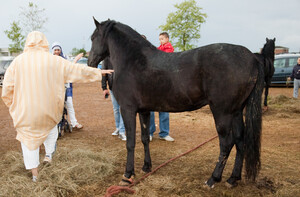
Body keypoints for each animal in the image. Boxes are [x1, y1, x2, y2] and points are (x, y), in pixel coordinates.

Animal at [88, 18, 264, 188]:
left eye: (93, 37)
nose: (89, 63)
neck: (133, 61)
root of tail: (252, 57)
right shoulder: (144, 110)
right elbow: (144, 138)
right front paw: (146, 167)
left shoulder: (127, 109)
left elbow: (131, 142)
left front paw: (127, 175)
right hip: (236, 111)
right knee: (240, 140)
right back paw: (233, 179)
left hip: (222, 112)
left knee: (227, 143)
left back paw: (212, 179)